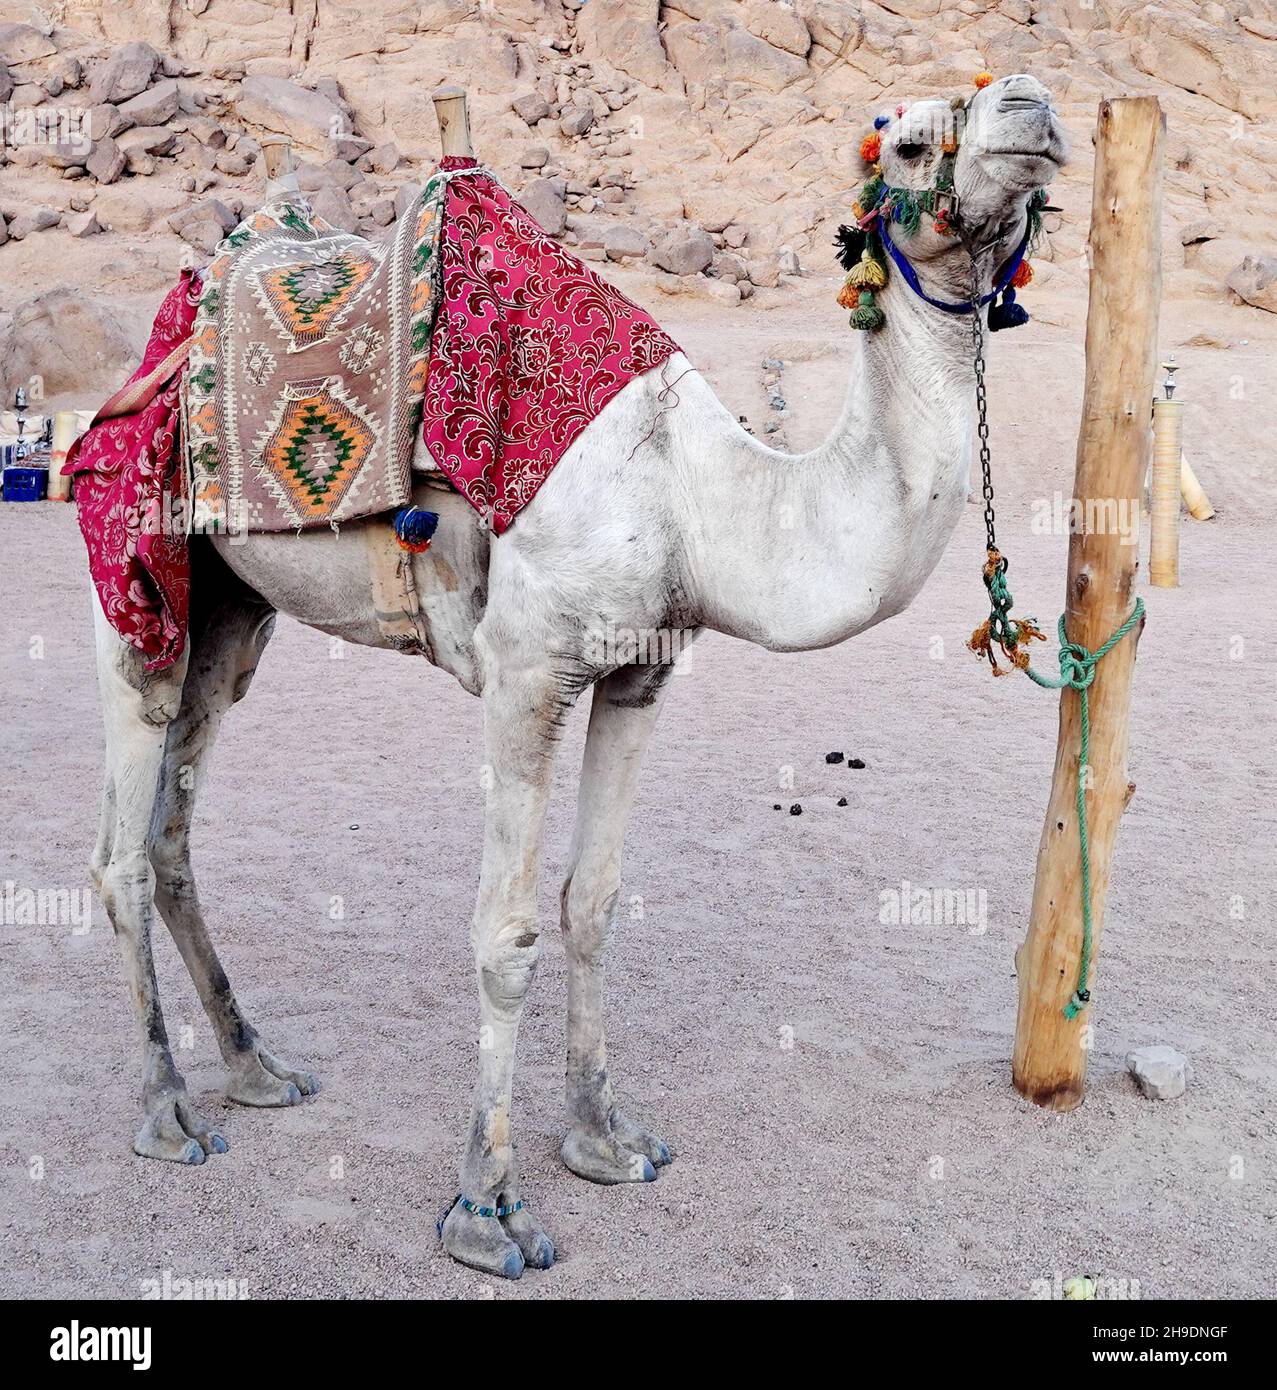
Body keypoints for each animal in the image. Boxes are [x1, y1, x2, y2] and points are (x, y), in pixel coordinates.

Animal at [88, 75, 1066, 1279]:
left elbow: (591, 901)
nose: (1032, 107)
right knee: (120, 849)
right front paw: (486, 1208)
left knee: (174, 830)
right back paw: (170, 1109)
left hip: (233, 610)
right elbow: (502, 932)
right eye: (911, 142)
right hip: (137, 581)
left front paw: (604, 1137)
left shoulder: (639, 672)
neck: (692, 495)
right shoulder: (525, 671)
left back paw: (255, 1068)